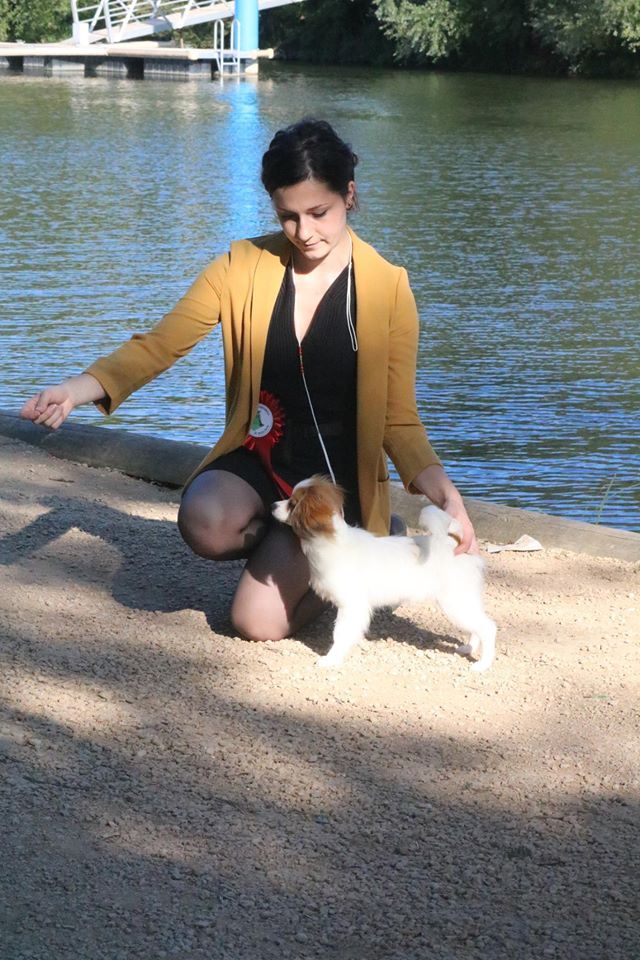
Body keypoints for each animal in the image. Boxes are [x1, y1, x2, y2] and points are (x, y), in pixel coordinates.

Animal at [272, 475, 496, 671]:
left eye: (292, 504)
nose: (273, 505)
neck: (330, 542)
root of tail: (453, 542)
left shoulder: (351, 605)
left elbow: (340, 634)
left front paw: (331, 659)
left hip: (456, 603)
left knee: (488, 627)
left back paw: (482, 665)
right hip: (463, 602)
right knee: (478, 627)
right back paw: (468, 648)